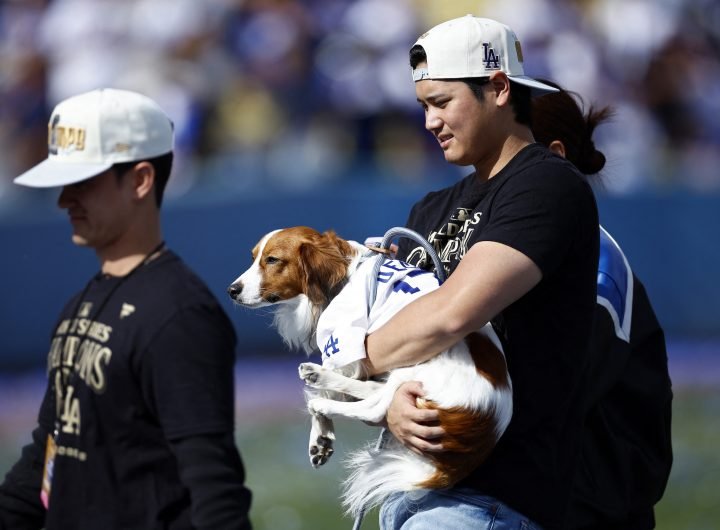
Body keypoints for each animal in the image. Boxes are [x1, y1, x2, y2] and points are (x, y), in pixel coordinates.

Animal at [226, 225, 512, 512]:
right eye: (254, 257)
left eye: (272, 260)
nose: (232, 290)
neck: (344, 274)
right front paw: (320, 438)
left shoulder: (344, 341)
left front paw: (321, 419)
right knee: (375, 393)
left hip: (424, 358)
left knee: (375, 408)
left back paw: (320, 390)